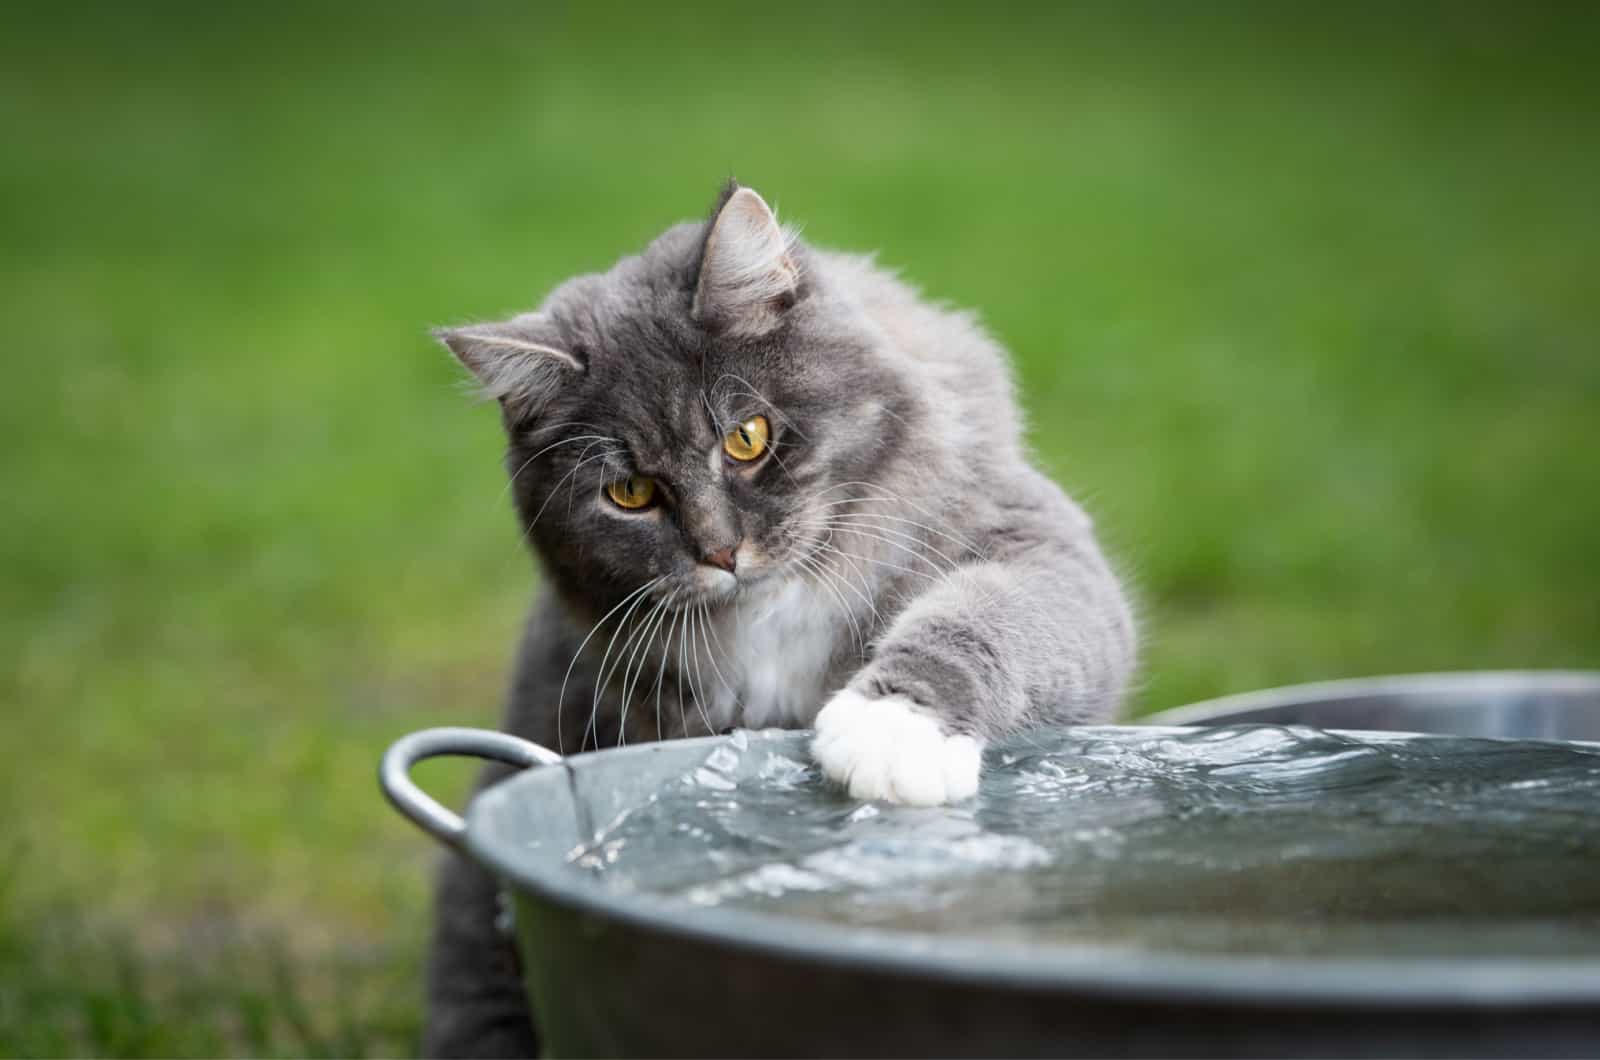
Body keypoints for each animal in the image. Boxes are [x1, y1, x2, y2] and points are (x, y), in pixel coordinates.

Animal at [419, 180, 1132, 1056]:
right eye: (630, 494)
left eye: (747, 438)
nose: (721, 552)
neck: (773, 609)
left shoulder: (1033, 545)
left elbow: (982, 617)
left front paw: (890, 733)